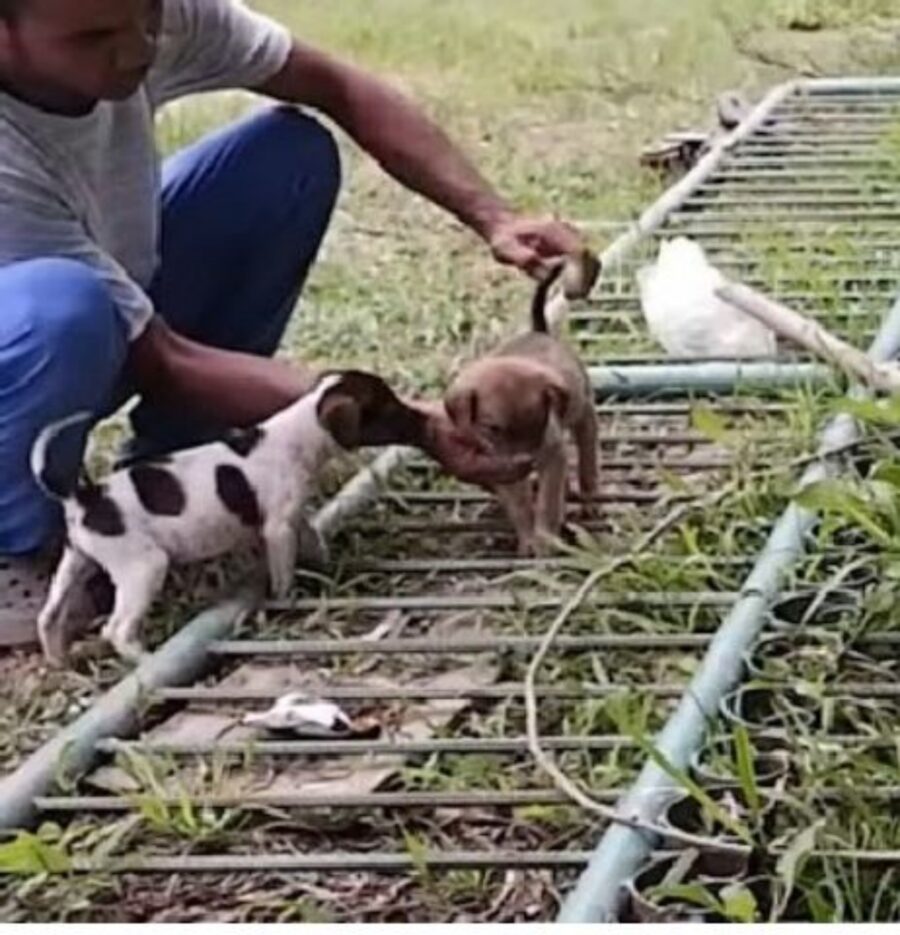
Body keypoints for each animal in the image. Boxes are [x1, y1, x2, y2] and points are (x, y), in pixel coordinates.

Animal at [32, 370, 426, 668]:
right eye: (388, 407)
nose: (421, 416)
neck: (301, 431)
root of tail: (83, 496)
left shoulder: (292, 518)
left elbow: (314, 539)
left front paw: (327, 567)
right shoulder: (278, 528)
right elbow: (283, 575)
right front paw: (288, 600)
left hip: (75, 562)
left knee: (48, 617)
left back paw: (59, 662)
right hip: (144, 567)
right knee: (116, 630)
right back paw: (144, 660)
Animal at [444, 252, 600, 552]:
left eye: (539, 421)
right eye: (492, 429)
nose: (526, 461)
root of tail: (538, 330)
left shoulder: (552, 452)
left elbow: (548, 502)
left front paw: (546, 537)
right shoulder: (501, 465)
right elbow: (519, 504)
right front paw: (529, 537)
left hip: (584, 413)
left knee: (588, 459)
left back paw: (590, 499)